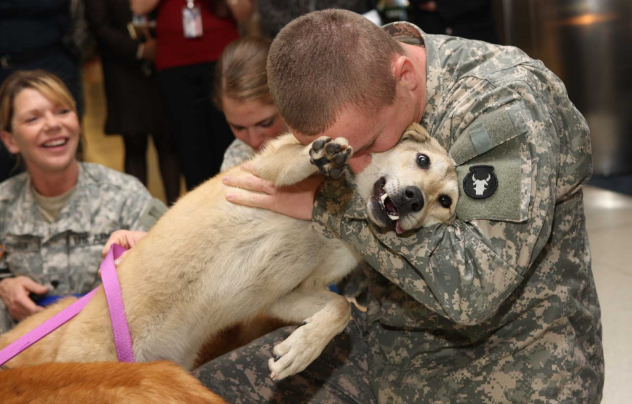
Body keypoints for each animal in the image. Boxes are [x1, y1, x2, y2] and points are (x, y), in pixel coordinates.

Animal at [0, 123, 456, 382]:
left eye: (446, 201)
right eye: (421, 159)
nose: (414, 199)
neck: (333, 224)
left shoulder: (283, 296)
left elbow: (339, 308)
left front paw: (300, 351)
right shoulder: (263, 172)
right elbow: (294, 160)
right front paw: (324, 156)